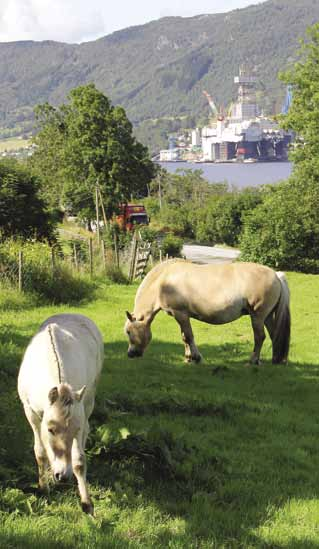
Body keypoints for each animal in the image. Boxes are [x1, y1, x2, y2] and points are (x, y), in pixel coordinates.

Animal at [17, 312, 104, 512]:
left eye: (75, 430)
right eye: (51, 430)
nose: (63, 476)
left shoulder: (80, 419)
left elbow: (79, 460)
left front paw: (87, 504)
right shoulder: (30, 412)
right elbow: (40, 452)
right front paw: (43, 489)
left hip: (89, 400)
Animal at [125, 260, 292, 364]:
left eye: (128, 332)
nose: (130, 354)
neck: (164, 281)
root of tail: (276, 275)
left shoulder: (181, 314)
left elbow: (189, 336)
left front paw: (196, 357)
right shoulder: (181, 316)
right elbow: (184, 337)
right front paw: (188, 358)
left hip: (257, 316)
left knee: (260, 337)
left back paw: (253, 361)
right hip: (267, 317)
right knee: (274, 335)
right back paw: (276, 360)